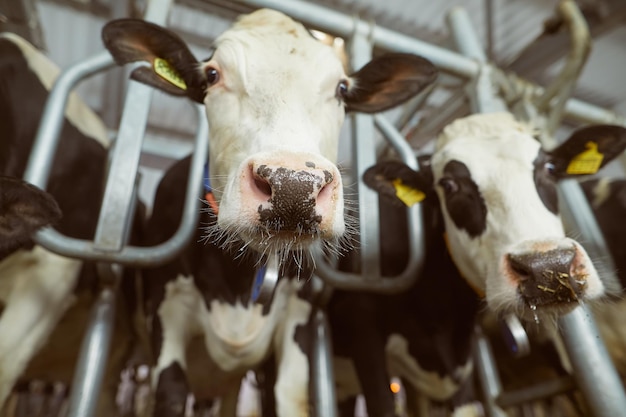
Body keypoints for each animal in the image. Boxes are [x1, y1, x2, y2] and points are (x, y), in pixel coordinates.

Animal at [100, 7, 436, 416]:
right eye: (213, 75)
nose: (293, 186)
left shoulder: (299, 318)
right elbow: (170, 390)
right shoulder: (165, 308)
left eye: (341, 89)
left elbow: (288, 396)